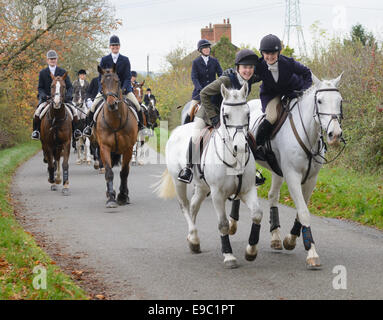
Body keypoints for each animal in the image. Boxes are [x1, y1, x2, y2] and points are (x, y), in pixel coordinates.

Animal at [95, 65, 139, 208]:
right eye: (102, 82)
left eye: (117, 81)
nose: (112, 104)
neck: (114, 120)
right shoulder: (104, 147)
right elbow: (109, 172)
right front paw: (111, 198)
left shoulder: (128, 148)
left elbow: (124, 172)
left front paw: (122, 196)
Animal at [154, 82, 262, 268]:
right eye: (226, 115)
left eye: (247, 114)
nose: (240, 147)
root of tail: (177, 131)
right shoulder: (217, 194)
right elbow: (223, 224)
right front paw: (229, 256)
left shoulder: (247, 189)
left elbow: (257, 215)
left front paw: (251, 251)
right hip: (179, 182)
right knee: (184, 206)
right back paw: (194, 237)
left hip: (202, 187)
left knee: (193, 206)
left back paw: (192, 239)